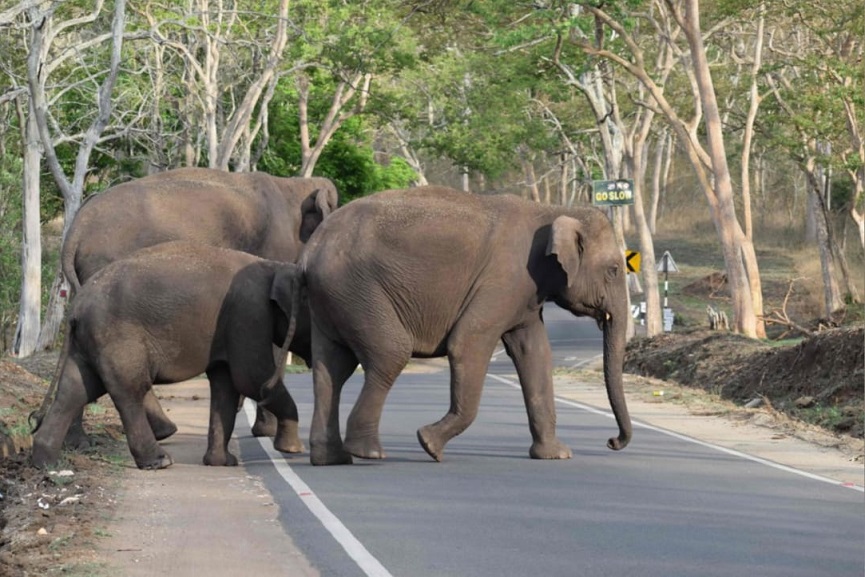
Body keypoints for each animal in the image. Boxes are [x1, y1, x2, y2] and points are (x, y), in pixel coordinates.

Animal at [31, 241, 310, 470]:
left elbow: (226, 384)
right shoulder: (249, 312)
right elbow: (252, 377)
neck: (274, 266)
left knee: (76, 389)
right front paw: (292, 448)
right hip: (116, 337)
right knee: (130, 388)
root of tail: (76, 307)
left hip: (89, 340)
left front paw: (222, 462)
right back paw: (159, 461)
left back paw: (47, 463)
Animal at [51, 166, 336, 449]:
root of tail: (76, 229)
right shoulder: (274, 249)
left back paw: (79, 442)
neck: (294, 186)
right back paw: (158, 432)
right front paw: (265, 430)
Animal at [299, 186, 632, 465]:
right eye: (615, 270)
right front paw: (429, 445)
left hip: (333, 299)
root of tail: (311, 249)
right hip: (355, 290)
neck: (554, 210)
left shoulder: (524, 294)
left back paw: (332, 459)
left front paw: (556, 455)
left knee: (332, 368)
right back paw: (368, 453)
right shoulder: (505, 278)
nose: (612, 441)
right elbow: (467, 342)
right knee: (390, 353)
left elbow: (535, 353)